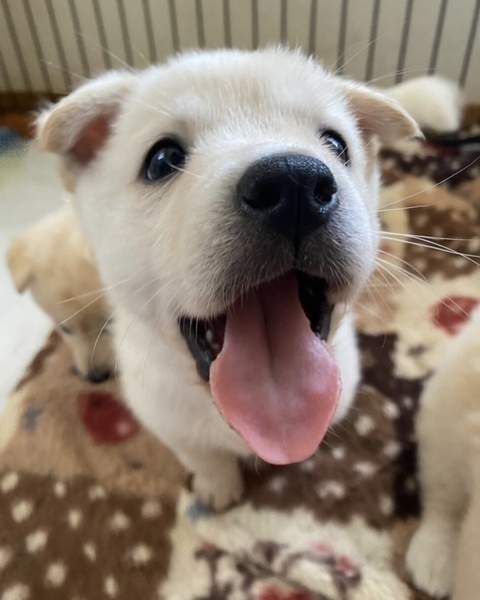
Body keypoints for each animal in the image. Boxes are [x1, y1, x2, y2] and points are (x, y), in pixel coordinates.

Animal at [36, 48, 418, 509]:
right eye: (161, 160)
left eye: (335, 144)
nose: (294, 179)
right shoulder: (166, 418)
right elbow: (204, 456)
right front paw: (218, 489)